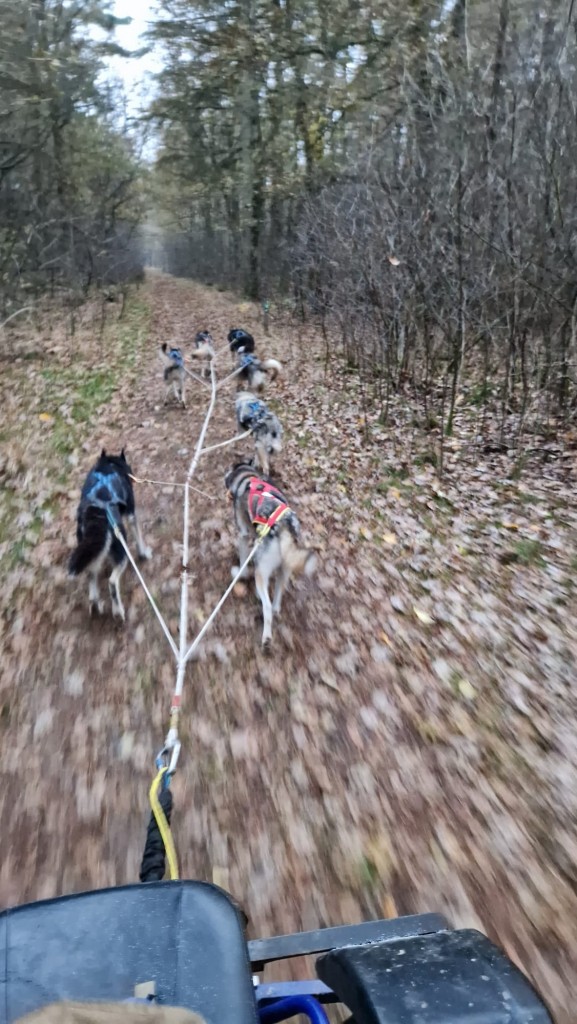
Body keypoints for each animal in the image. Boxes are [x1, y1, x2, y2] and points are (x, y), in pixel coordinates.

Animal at [68, 450, 151, 622]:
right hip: (121, 550)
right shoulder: (131, 515)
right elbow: (139, 537)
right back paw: (118, 611)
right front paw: (144, 553)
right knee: (112, 582)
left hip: (89, 552)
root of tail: (98, 513)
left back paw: (95, 605)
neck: (110, 466)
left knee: (91, 578)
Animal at [225, 464, 315, 647]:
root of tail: (284, 527)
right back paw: (276, 609)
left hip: (261, 572)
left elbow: (243, 562)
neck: (249, 478)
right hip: (285, 568)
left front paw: (240, 573)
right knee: (278, 593)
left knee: (266, 606)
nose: (225, 475)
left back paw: (266, 637)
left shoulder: (243, 535)